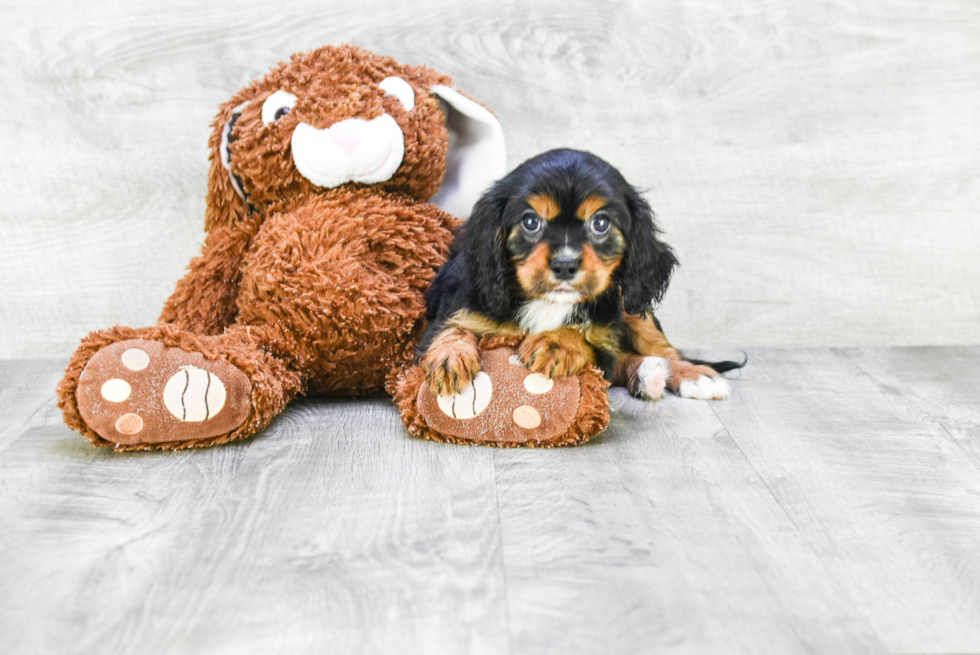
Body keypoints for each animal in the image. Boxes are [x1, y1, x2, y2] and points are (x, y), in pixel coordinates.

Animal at [418, 149, 740, 402]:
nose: (564, 264)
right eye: (530, 221)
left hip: (629, 303)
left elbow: (590, 341)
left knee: (663, 349)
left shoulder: (604, 343)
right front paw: (450, 357)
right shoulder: (461, 308)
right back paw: (649, 376)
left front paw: (556, 343)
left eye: (601, 223)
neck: (547, 303)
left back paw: (693, 376)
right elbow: (454, 327)